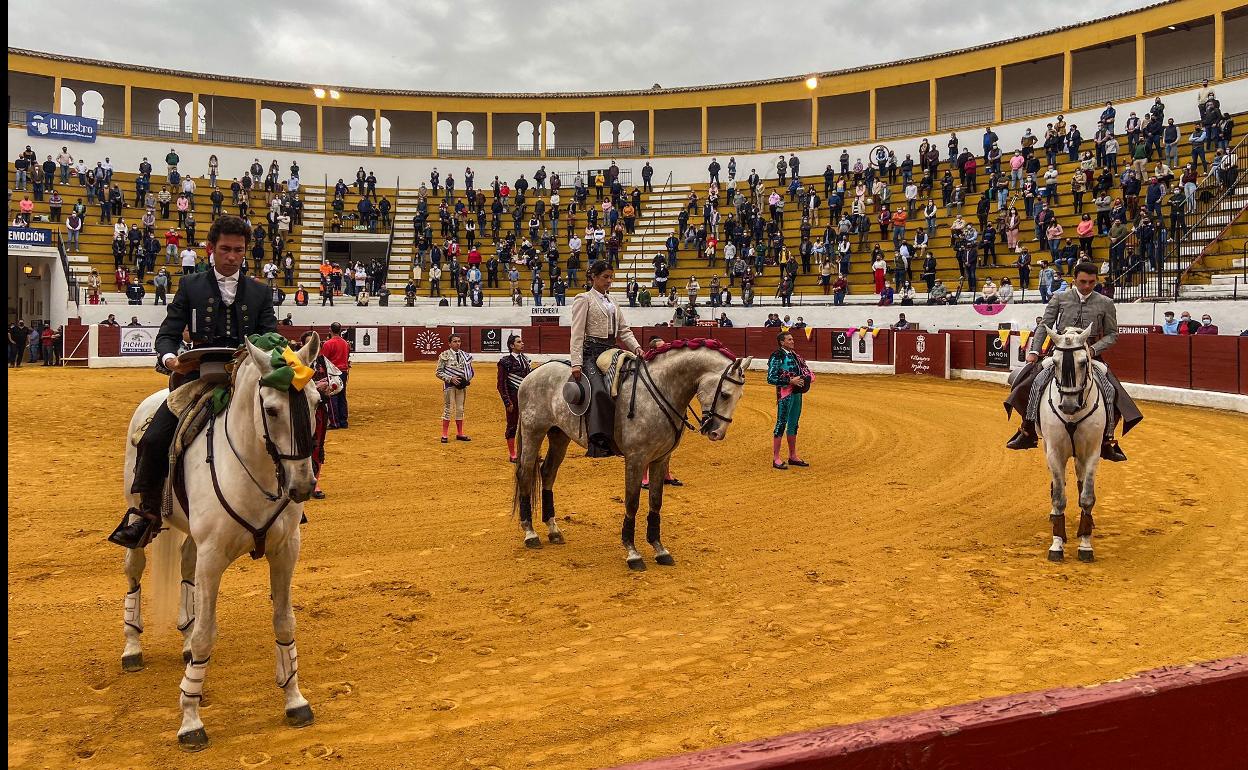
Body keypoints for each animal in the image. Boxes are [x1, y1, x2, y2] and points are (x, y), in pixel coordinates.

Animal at [120, 334, 321, 748]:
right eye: (272, 410)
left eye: (315, 402)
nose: (303, 486)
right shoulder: (213, 557)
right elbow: (205, 636)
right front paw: (191, 721)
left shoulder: (285, 551)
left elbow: (284, 622)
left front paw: (295, 700)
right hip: (138, 515)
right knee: (134, 568)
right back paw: (132, 647)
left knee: (185, 561)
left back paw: (181, 642)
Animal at [509, 341, 748, 571]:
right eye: (725, 394)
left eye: (740, 396)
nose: (717, 433)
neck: (661, 389)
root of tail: (533, 374)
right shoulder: (636, 458)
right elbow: (632, 502)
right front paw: (633, 553)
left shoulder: (660, 459)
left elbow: (655, 502)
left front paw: (659, 549)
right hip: (533, 431)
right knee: (525, 473)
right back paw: (530, 533)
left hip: (559, 435)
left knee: (548, 473)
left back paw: (553, 529)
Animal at [1038, 321, 1108, 561]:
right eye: (1055, 362)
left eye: (1083, 362)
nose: (1067, 405)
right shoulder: (1054, 452)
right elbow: (1059, 497)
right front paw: (1056, 545)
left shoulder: (1093, 452)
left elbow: (1087, 497)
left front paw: (1085, 545)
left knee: (1080, 479)